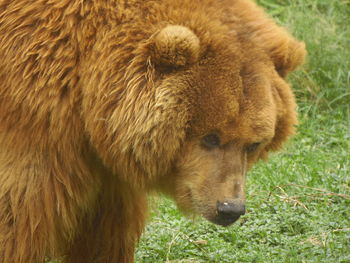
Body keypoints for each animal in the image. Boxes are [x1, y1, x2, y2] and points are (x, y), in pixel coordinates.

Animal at [0, 0, 304, 263]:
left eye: (253, 144)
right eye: (210, 137)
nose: (230, 208)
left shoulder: (106, 169)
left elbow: (105, 233)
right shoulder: (33, 123)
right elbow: (18, 217)